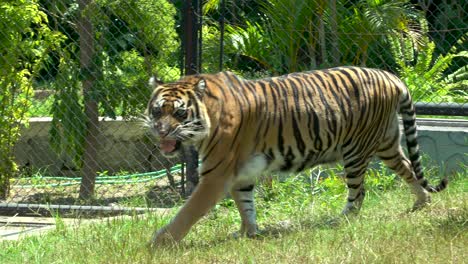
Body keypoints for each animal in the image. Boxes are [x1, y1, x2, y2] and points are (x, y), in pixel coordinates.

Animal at [144, 66, 448, 248]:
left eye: (180, 112)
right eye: (157, 110)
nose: (161, 131)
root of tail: (391, 76)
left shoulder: (215, 175)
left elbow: (189, 211)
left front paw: (159, 242)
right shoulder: (240, 174)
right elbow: (245, 206)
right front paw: (248, 234)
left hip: (356, 150)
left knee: (359, 193)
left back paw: (341, 220)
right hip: (387, 144)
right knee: (408, 168)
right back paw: (422, 202)